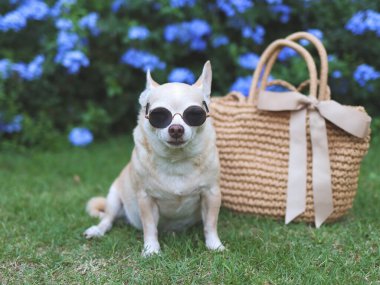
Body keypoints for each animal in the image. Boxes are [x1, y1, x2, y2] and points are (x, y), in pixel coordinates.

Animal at [84, 61, 223, 255]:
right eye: (159, 115)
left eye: (195, 114)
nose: (176, 129)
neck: (176, 160)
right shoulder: (146, 199)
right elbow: (149, 226)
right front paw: (151, 250)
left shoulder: (211, 194)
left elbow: (210, 223)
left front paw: (214, 245)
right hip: (114, 198)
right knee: (108, 219)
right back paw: (97, 230)